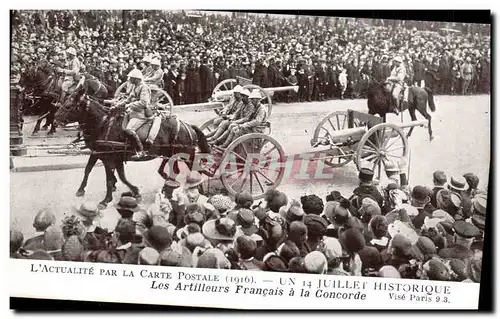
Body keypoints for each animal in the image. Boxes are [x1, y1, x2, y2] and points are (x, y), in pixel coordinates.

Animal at [53, 87, 210, 209]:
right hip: (170, 154)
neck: (104, 124)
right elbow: (93, 170)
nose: (55, 120)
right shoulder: (100, 153)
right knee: (174, 170)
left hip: (187, 155)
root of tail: (188, 126)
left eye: (69, 106)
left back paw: (199, 190)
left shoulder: (108, 158)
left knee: (195, 169)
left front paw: (106, 200)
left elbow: (110, 178)